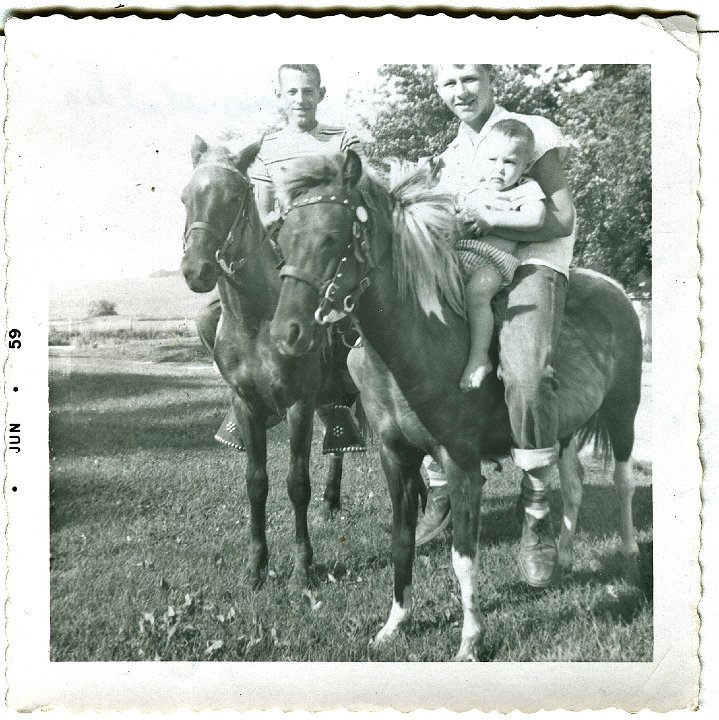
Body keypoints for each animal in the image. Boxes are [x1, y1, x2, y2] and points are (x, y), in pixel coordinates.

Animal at [179, 136, 360, 592]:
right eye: (186, 197)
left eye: (234, 196)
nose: (196, 270)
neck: (257, 319)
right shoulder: (246, 405)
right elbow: (256, 483)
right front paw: (256, 566)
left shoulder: (298, 404)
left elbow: (297, 483)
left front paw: (301, 569)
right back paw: (331, 503)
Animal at [272, 150, 648, 660]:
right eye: (282, 238)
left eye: (332, 235)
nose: (286, 333)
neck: (419, 342)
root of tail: (616, 289)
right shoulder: (396, 458)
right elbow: (402, 542)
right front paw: (396, 623)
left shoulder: (461, 461)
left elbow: (463, 556)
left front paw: (471, 638)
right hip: (566, 427)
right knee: (572, 484)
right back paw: (565, 558)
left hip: (623, 411)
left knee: (622, 483)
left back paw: (628, 558)